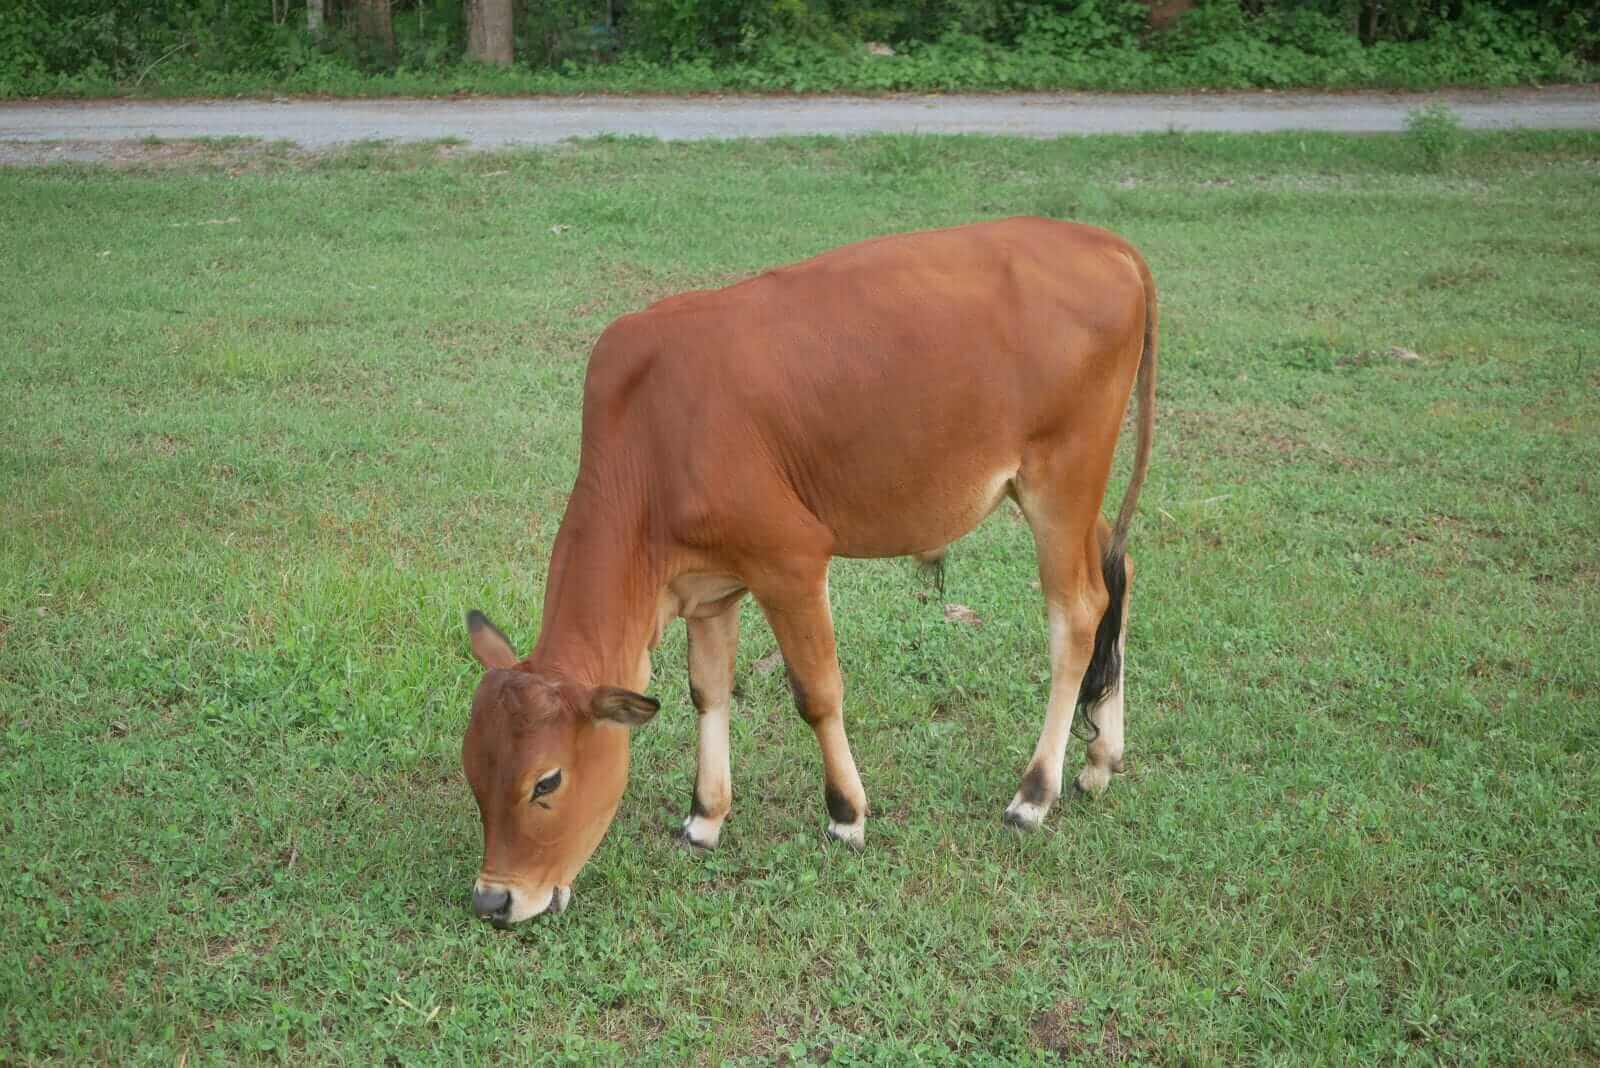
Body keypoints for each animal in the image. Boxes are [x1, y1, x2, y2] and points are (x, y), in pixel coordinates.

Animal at [461, 216, 1157, 926]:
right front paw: (704, 816)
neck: (649, 439)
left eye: (546, 780)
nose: (494, 900)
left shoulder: (790, 563)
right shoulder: (710, 590)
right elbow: (708, 691)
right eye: (474, 774)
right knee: (1117, 572)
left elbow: (817, 693)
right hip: (1069, 497)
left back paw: (1034, 793)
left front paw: (846, 814)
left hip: (1060, 481)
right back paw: (1102, 757)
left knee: (1078, 615)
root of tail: (1103, 242)